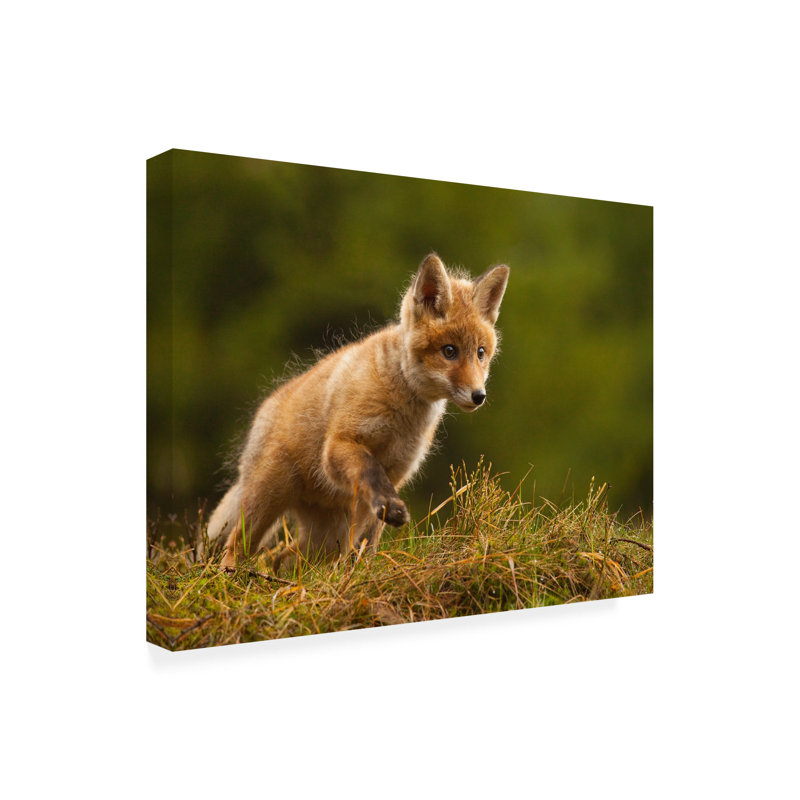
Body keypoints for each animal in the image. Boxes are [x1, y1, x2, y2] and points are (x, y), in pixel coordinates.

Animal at [207, 252, 509, 572]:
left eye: (480, 352)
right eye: (449, 351)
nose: (479, 396)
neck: (402, 414)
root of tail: (264, 411)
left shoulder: (397, 471)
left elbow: (366, 538)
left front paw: (360, 570)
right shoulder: (340, 446)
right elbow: (369, 470)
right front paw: (391, 510)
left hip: (325, 539)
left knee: (281, 558)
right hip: (267, 500)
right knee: (236, 547)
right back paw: (230, 575)